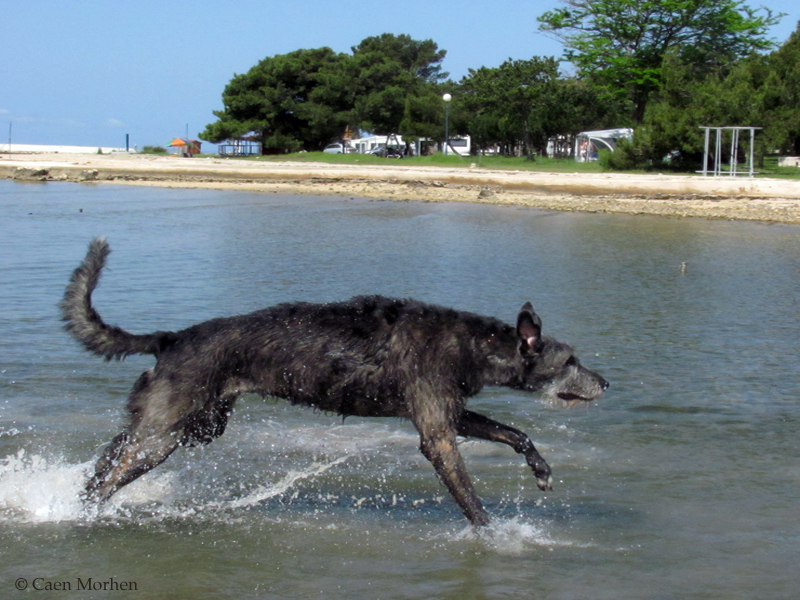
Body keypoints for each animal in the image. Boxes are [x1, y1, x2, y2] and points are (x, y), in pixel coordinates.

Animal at [61, 238, 608, 524]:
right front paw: (497, 536)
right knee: (108, 474)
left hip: (193, 427)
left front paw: (541, 470)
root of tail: (171, 338)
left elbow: (516, 433)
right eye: (570, 360)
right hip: (164, 432)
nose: (605, 383)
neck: (470, 342)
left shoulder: (450, 411)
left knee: (107, 459)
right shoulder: (437, 433)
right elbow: (469, 497)